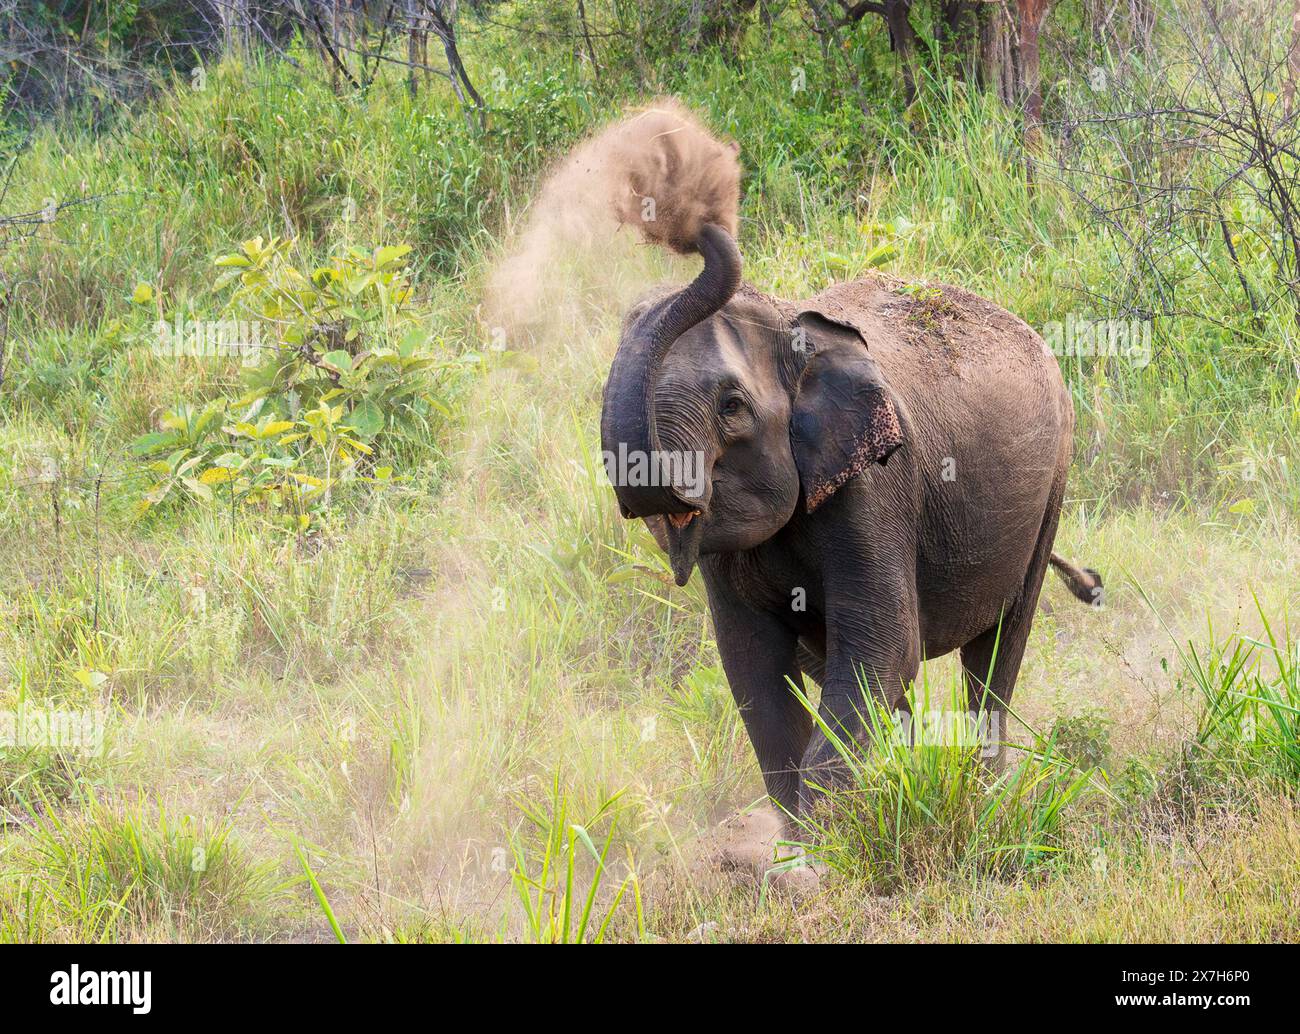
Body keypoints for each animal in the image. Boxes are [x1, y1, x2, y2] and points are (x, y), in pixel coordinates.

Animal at [603, 222, 1102, 821]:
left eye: (731, 405)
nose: (691, 230)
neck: (793, 324)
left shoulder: (874, 488)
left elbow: (883, 649)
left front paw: (828, 839)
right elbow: (754, 671)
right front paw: (812, 837)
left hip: (1053, 484)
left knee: (999, 647)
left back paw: (982, 792)